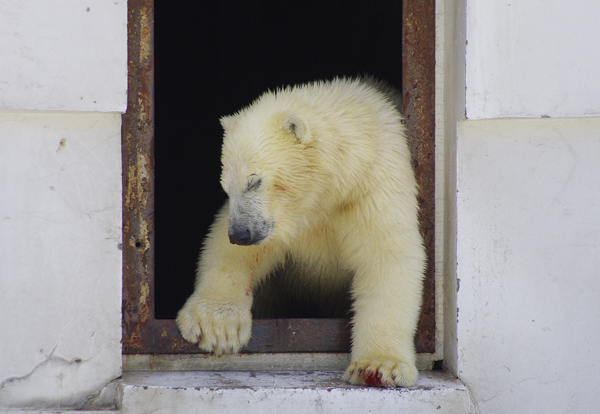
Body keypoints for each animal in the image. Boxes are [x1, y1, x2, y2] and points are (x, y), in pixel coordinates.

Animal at [176, 77, 424, 388]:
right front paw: (217, 327)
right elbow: (230, 251)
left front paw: (378, 367)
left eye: (254, 181)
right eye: (225, 186)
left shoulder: (374, 185)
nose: (241, 234)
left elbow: (386, 256)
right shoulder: (285, 220)